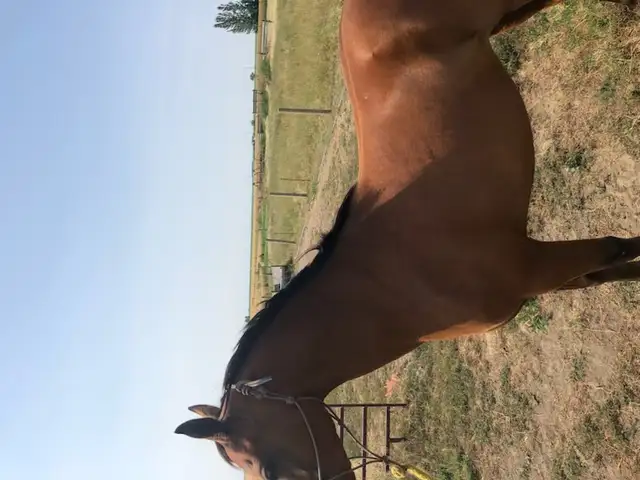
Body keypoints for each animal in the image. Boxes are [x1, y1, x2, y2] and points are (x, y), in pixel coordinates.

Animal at [175, 1, 639, 479]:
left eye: (268, 470)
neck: (389, 287)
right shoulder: (549, 275)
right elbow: (614, 268)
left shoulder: (539, 264)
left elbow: (619, 249)